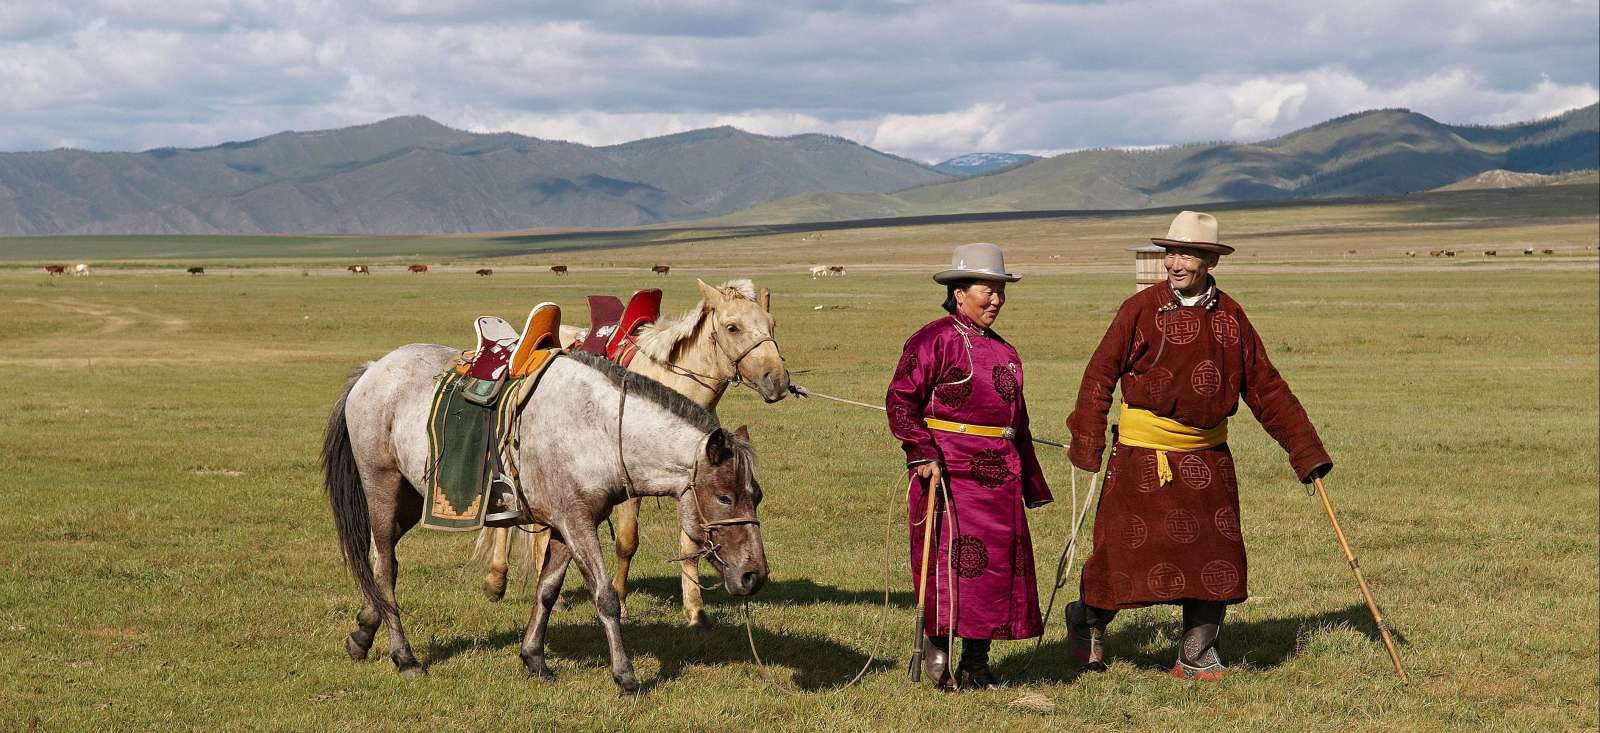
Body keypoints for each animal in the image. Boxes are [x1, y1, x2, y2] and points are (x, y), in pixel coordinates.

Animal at [321, 345, 764, 691]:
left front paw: (534, 659)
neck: (600, 430)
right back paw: (405, 657)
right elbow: (605, 597)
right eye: (725, 498)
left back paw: (362, 635)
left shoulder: (567, 525)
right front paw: (626, 677)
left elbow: (547, 590)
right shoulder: (577, 523)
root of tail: (372, 369)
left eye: (756, 496)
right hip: (382, 487)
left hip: (411, 498)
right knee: (386, 566)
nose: (753, 576)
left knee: (381, 562)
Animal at [480, 278, 793, 627]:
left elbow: (690, 541)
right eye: (732, 327)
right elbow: (627, 541)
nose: (777, 380)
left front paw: (695, 608)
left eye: (772, 324)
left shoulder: (691, 482)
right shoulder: (632, 486)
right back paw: (499, 581)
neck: (671, 382)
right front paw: (621, 601)